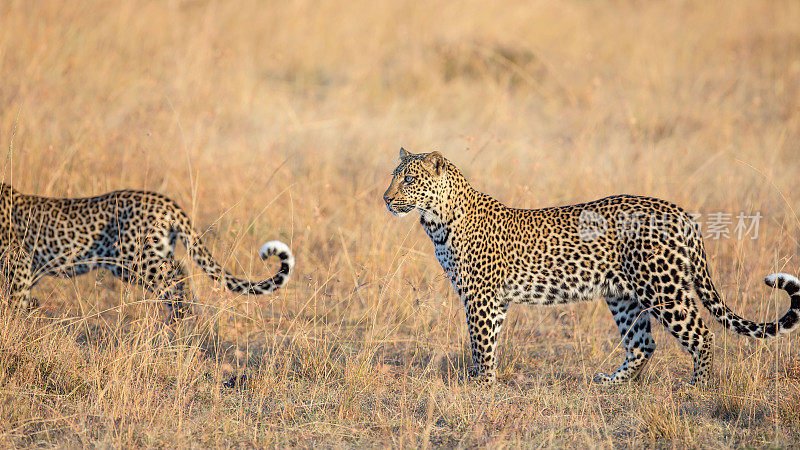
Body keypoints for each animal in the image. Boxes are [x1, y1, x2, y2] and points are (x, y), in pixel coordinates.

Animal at [0, 181, 294, 318]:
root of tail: (166, 202)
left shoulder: (19, 264)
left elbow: (13, 303)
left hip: (136, 262)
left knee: (177, 280)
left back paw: (180, 321)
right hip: (150, 256)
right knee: (181, 272)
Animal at [382, 149, 800, 386]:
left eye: (409, 178)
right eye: (393, 176)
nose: (385, 199)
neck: (438, 221)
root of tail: (680, 212)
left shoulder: (481, 298)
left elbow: (481, 343)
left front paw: (478, 386)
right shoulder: (493, 301)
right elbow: (489, 343)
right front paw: (483, 380)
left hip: (663, 288)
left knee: (701, 333)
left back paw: (698, 387)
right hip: (624, 296)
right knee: (642, 344)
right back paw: (612, 382)